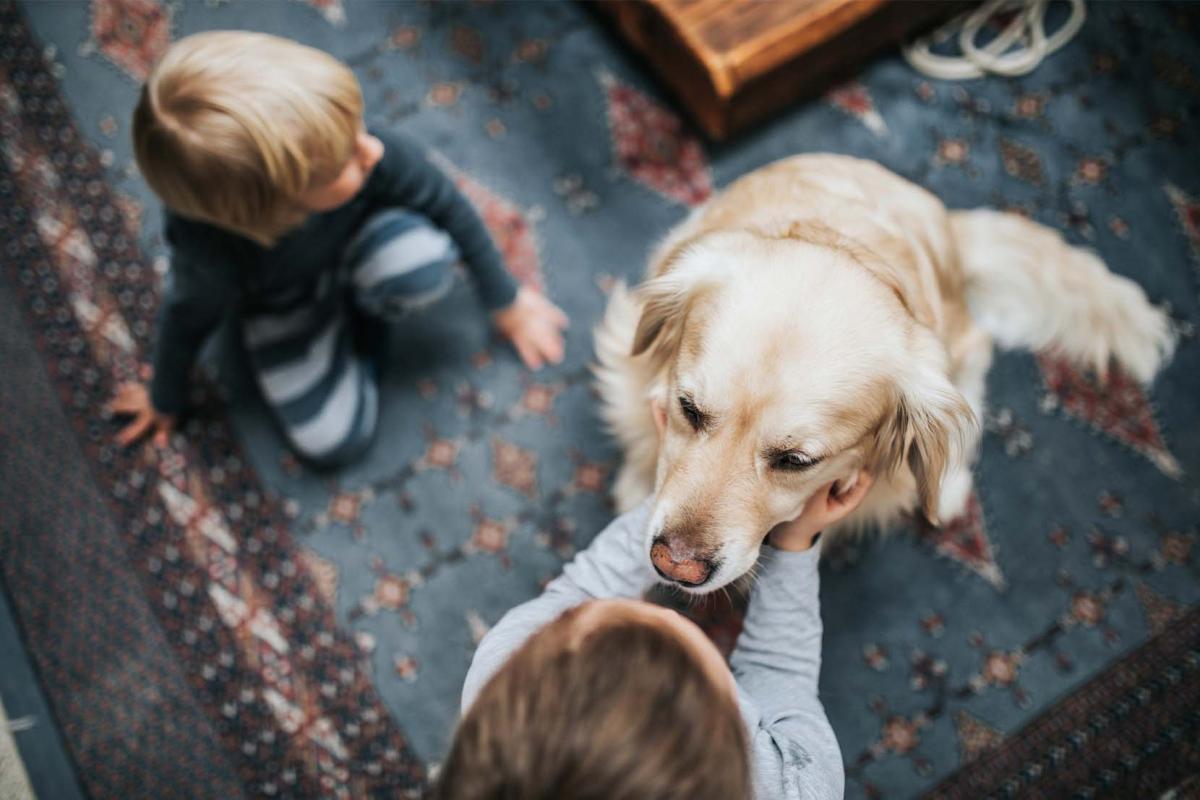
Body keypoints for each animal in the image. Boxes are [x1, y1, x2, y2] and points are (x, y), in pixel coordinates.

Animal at [595, 154, 1176, 594]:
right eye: (688, 409)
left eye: (796, 461)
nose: (674, 565)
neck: (840, 241)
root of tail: (950, 226)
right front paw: (636, 483)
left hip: (959, 352)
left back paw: (948, 490)